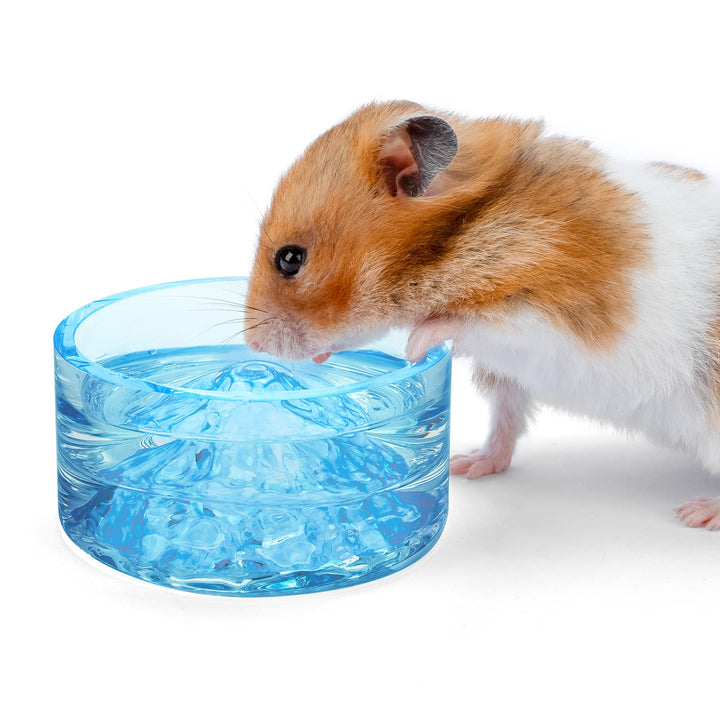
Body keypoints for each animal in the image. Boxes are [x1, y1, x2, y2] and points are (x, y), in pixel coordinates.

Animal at [244, 100, 720, 530]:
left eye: (290, 259)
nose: (251, 344)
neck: (462, 233)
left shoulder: (552, 313)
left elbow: (464, 322)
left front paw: (413, 349)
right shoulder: (511, 370)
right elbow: (506, 416)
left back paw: (695, 514)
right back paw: (468, 464)